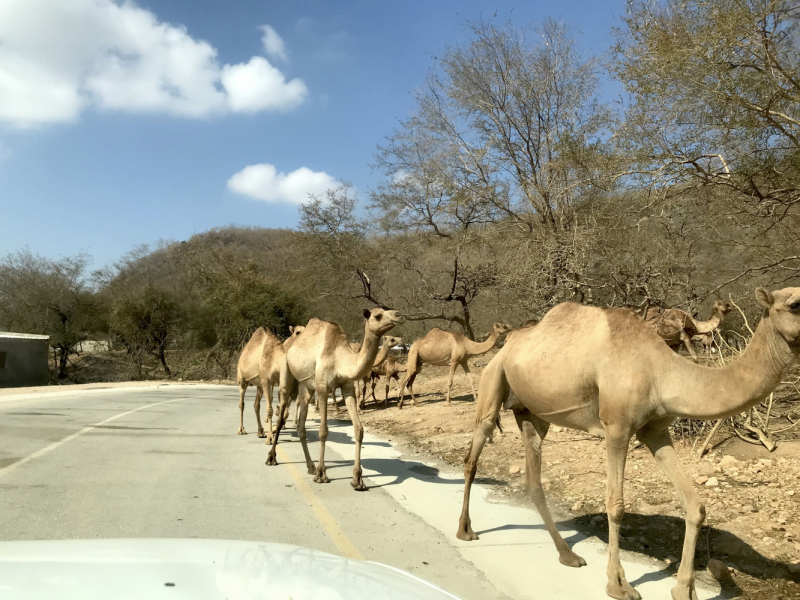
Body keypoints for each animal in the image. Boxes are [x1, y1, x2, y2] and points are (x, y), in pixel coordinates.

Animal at [268, 308, 406, 490]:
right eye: (378, 316)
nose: (399, 315)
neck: (340, 360)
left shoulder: (348, 388)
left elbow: (359, 429)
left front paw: (357, 480)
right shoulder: (323, 388)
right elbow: (323, 431)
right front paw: (322, 474)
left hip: (306, 385)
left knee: (301, 422)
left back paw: (310, 466)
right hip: (287, 375)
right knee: (282, 411)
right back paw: (272, 457)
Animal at [456, 288, 800, 600]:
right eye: (795, 303)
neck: (661, 370)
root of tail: (509, 343)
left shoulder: (655, 430)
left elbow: (695, 505)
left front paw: (683, 589)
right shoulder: (617, 427)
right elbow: (616, 505)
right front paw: (619, 585)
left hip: (532, 413)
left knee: (533, 476)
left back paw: (567, 554)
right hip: (493, 378)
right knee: (474, 453)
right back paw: (465, 530)